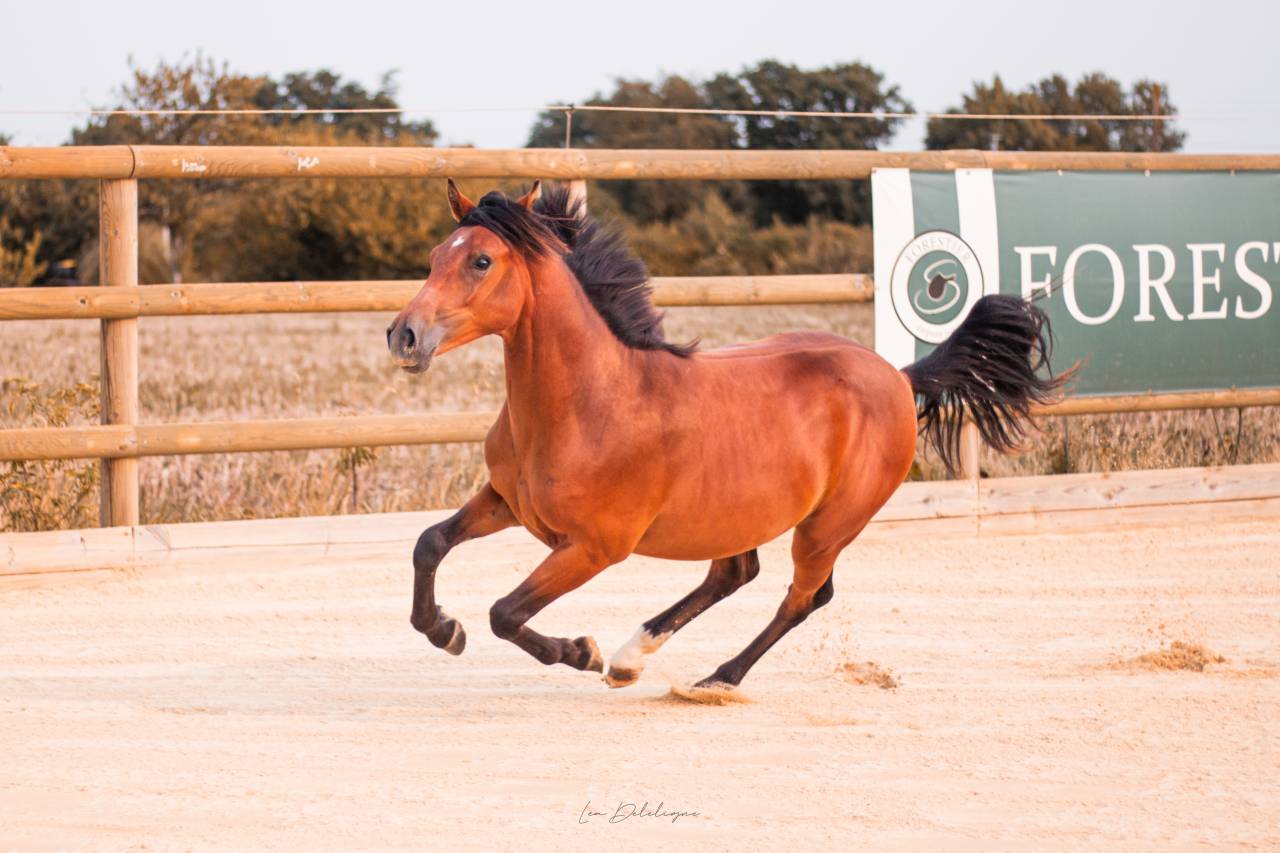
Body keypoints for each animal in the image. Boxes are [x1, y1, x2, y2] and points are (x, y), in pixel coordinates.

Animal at [385, 180, 1067, 691]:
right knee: (735, 575)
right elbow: (427, 543)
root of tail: (900, 376)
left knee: (804, 597)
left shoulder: (594, 548)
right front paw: (443, 628)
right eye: (435, 256)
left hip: (828, 526)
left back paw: (713, 677)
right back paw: (633, 659)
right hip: (736, 515)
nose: (404, 336)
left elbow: (505, 612)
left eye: (481, 260)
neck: (588, 403)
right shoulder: (507, 502)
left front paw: (580, 650)